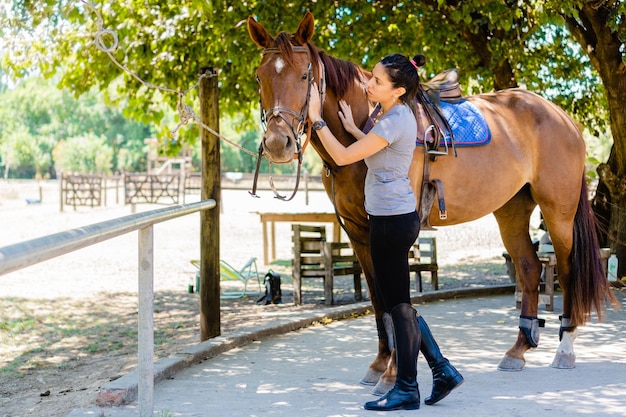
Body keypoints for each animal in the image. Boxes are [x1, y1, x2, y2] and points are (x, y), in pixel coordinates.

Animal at [245, 11, 616, 390]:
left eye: (304, 75)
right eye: (260, 76)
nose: (277, 144)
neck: (366, 128)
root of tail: (561, 116)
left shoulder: (391, 233)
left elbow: (398, 299)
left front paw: (393, 373)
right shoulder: (359, 233)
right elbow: (379, 301)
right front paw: (380, 363)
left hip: (559, 213)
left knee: (567, 271)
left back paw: (565, 348)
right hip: (511, 210)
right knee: (529, 268)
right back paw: (518, 350)